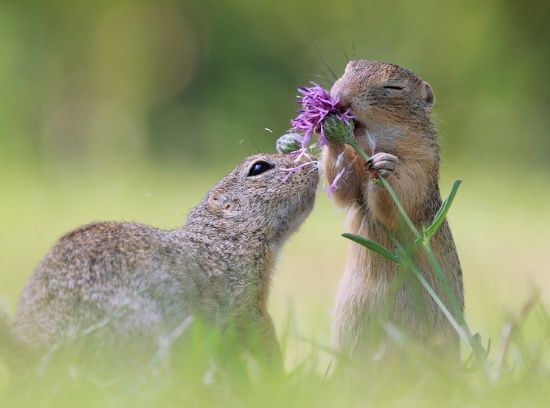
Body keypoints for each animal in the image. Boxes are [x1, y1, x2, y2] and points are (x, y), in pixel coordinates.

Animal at [324, 59, 466, 360]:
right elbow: (342, 190)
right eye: (348, 68)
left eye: (394, 87)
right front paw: (332, 134)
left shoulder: (420, 169)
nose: (340, 99)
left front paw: (384, 167)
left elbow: (400, 201)